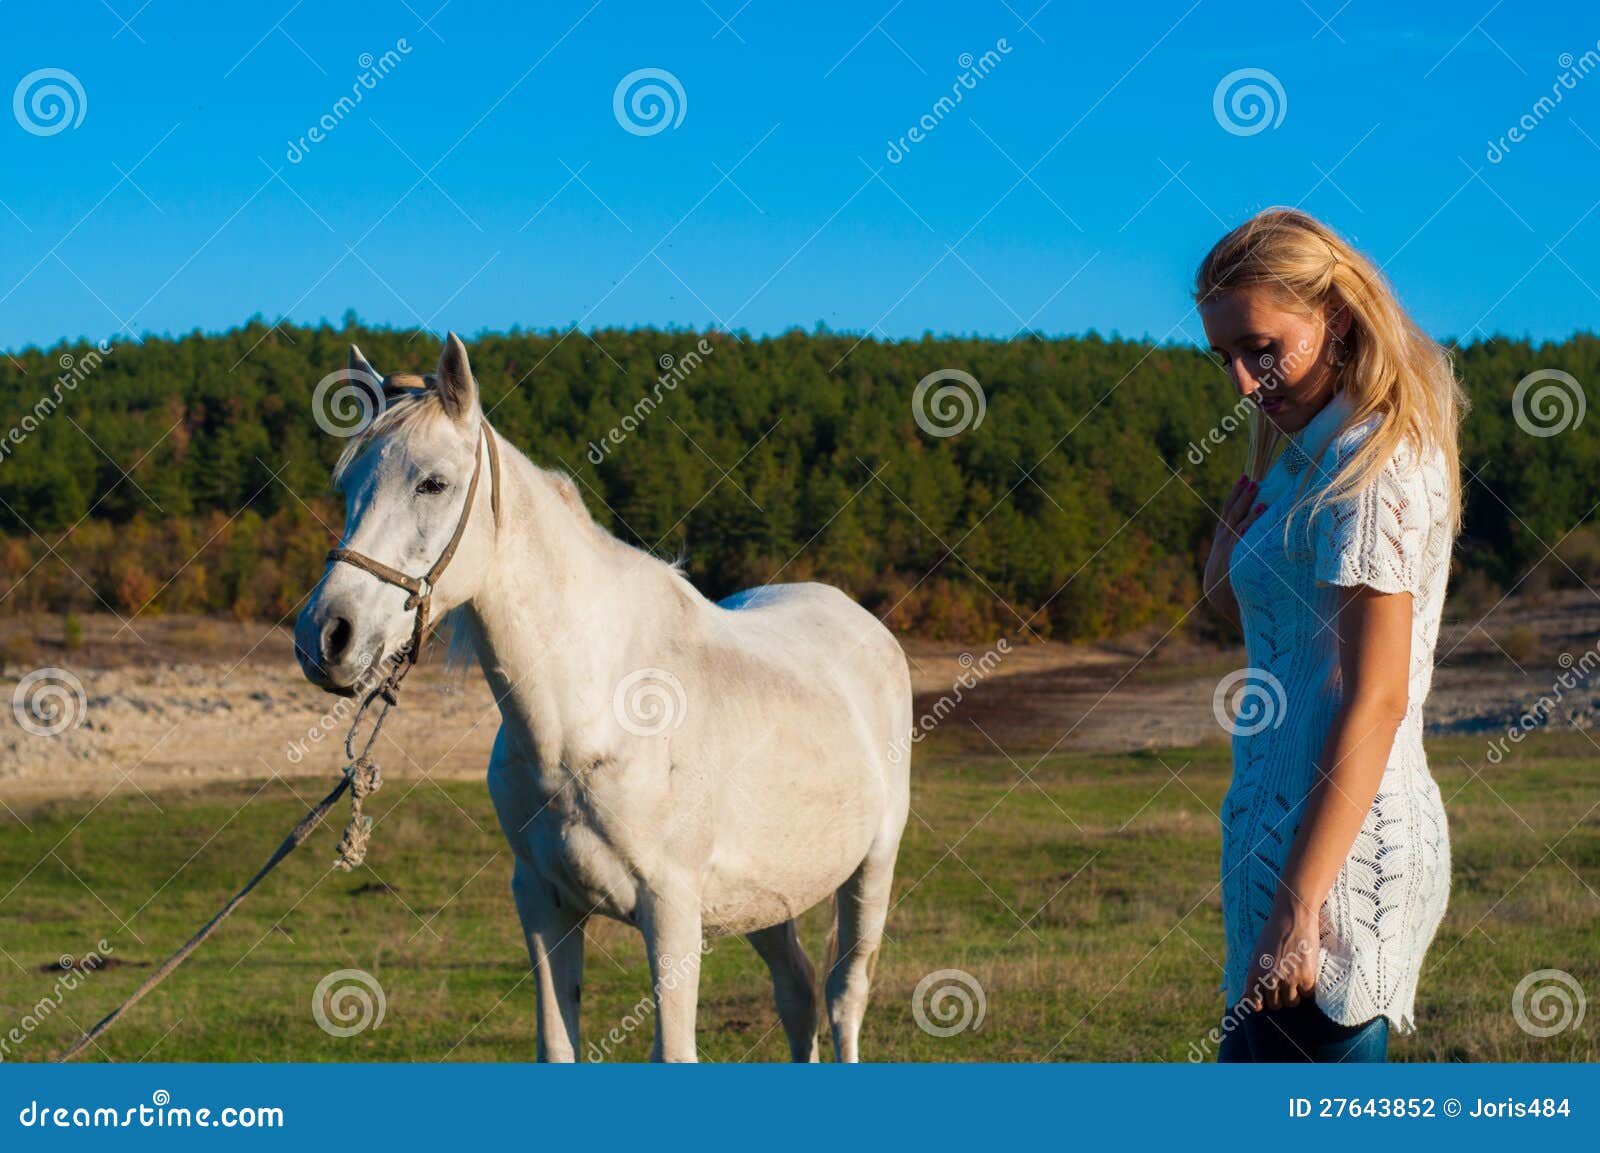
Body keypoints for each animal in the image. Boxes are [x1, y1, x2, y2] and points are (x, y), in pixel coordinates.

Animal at [294, 334, 912, 1062]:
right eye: (347, 488)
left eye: (433, 482)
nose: (326, 635)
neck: (589, 717)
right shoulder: (543, 902)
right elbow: (557, 1045)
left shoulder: (671, 912)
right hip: (768, 894)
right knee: (798, 993)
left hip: (871, 868)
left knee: (845, 998)